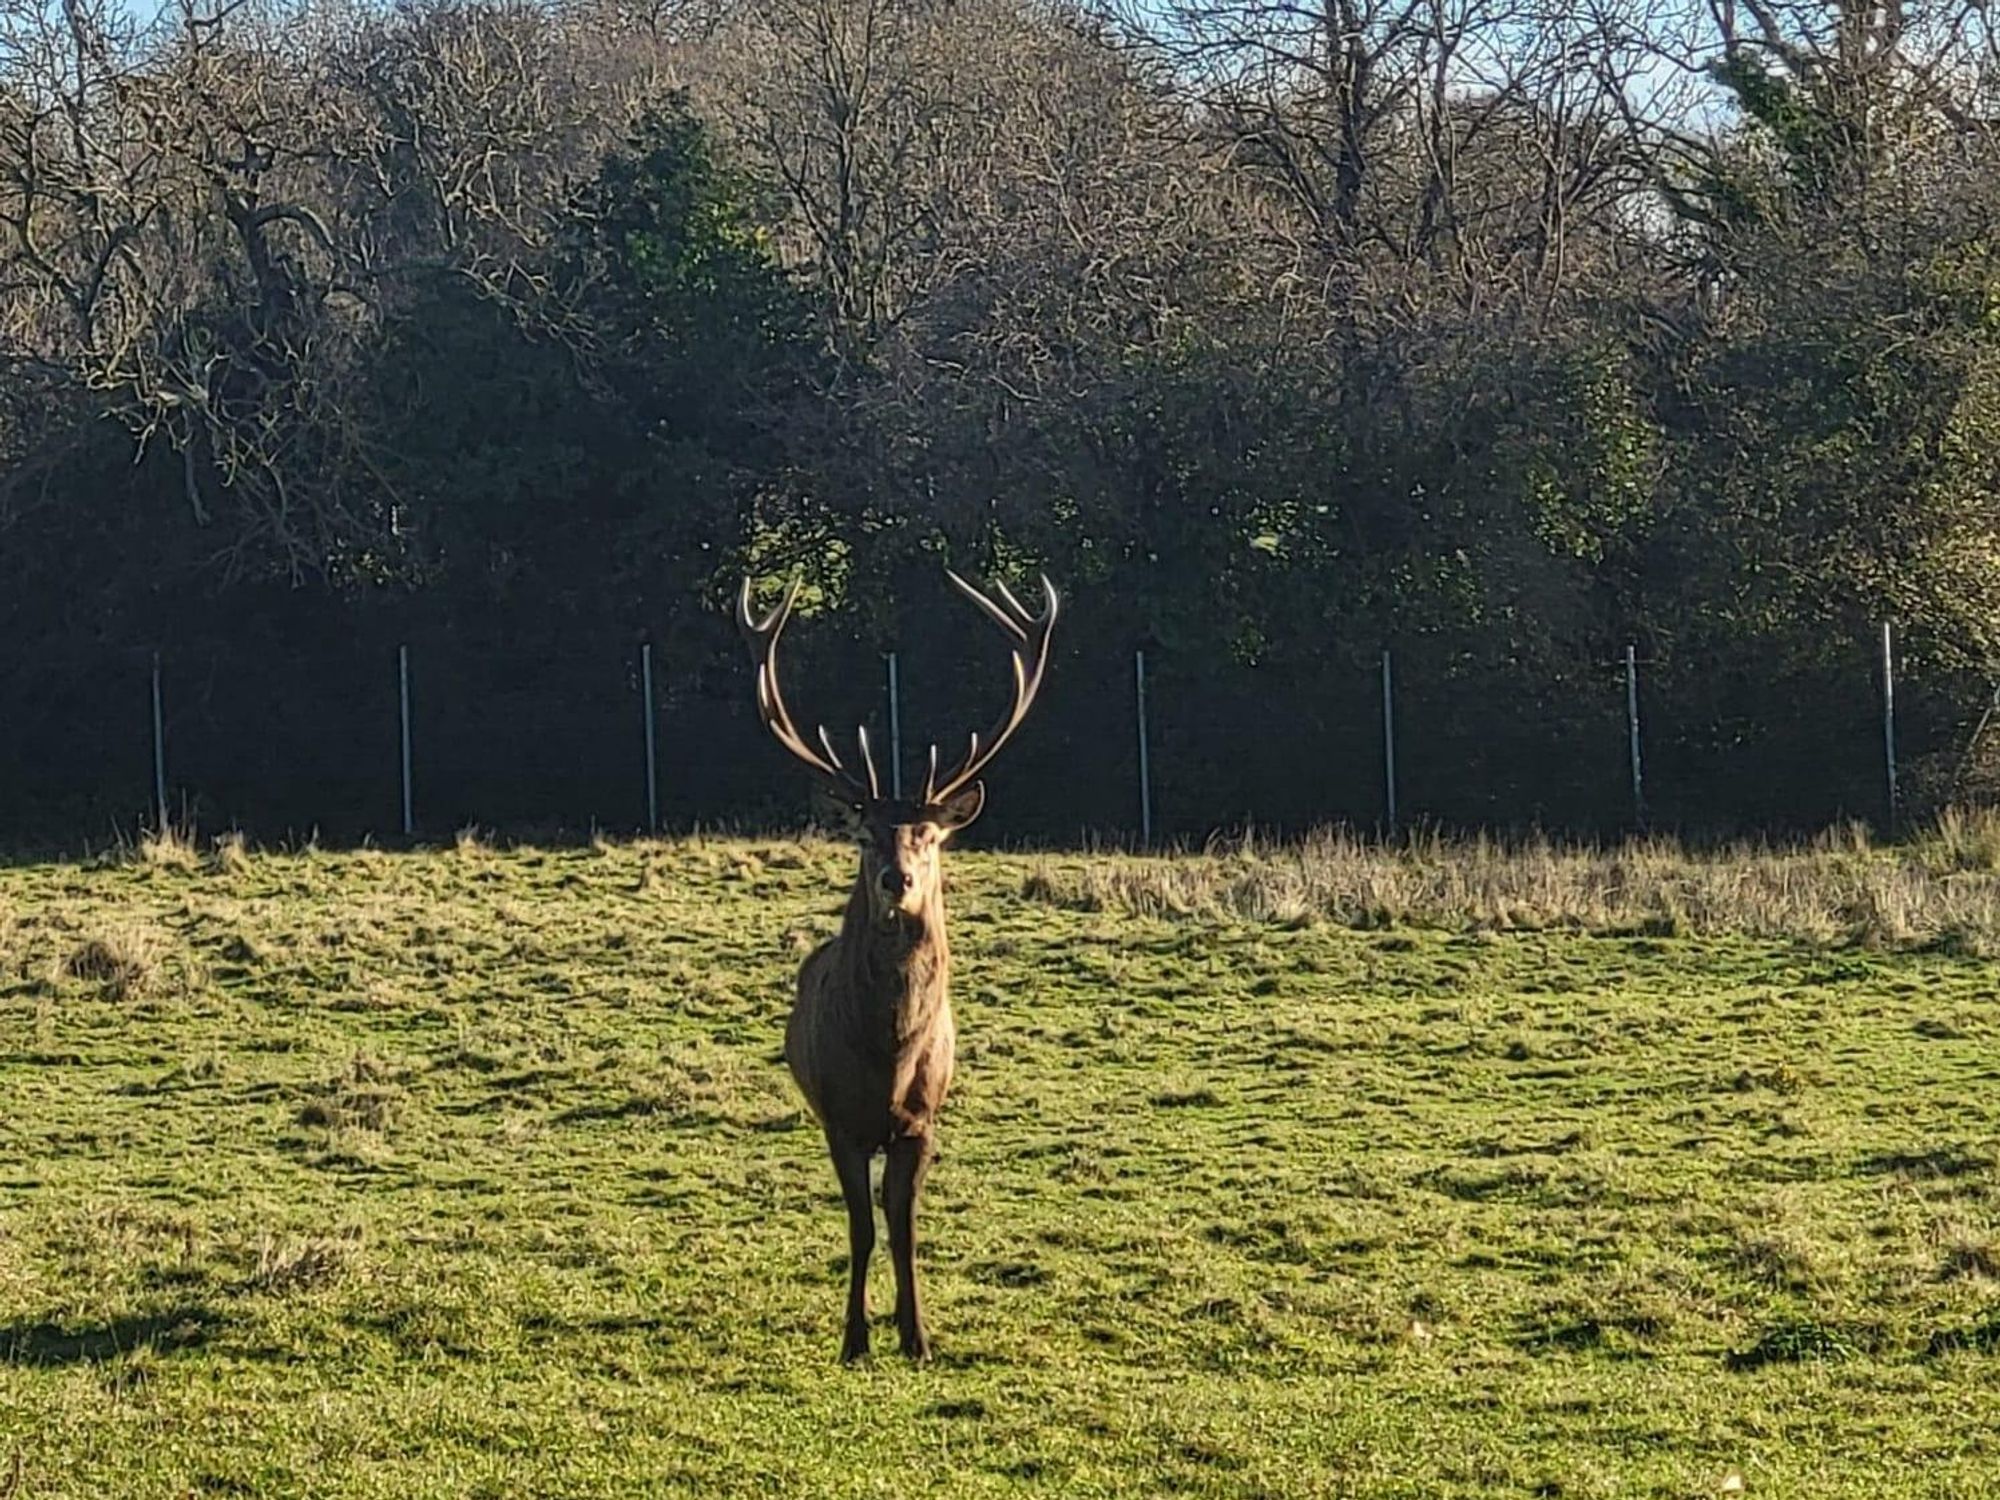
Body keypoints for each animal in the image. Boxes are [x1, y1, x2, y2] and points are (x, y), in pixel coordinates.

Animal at [734, 569, 1058, 1363]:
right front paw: (855, 1338)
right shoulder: (840, 1121)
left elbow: (904, 1228)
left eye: (928, 835)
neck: (887, 1054)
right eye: (865, 835)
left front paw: (917, 1336)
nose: (897, 878)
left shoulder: (922, 1121)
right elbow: (860, 1228)